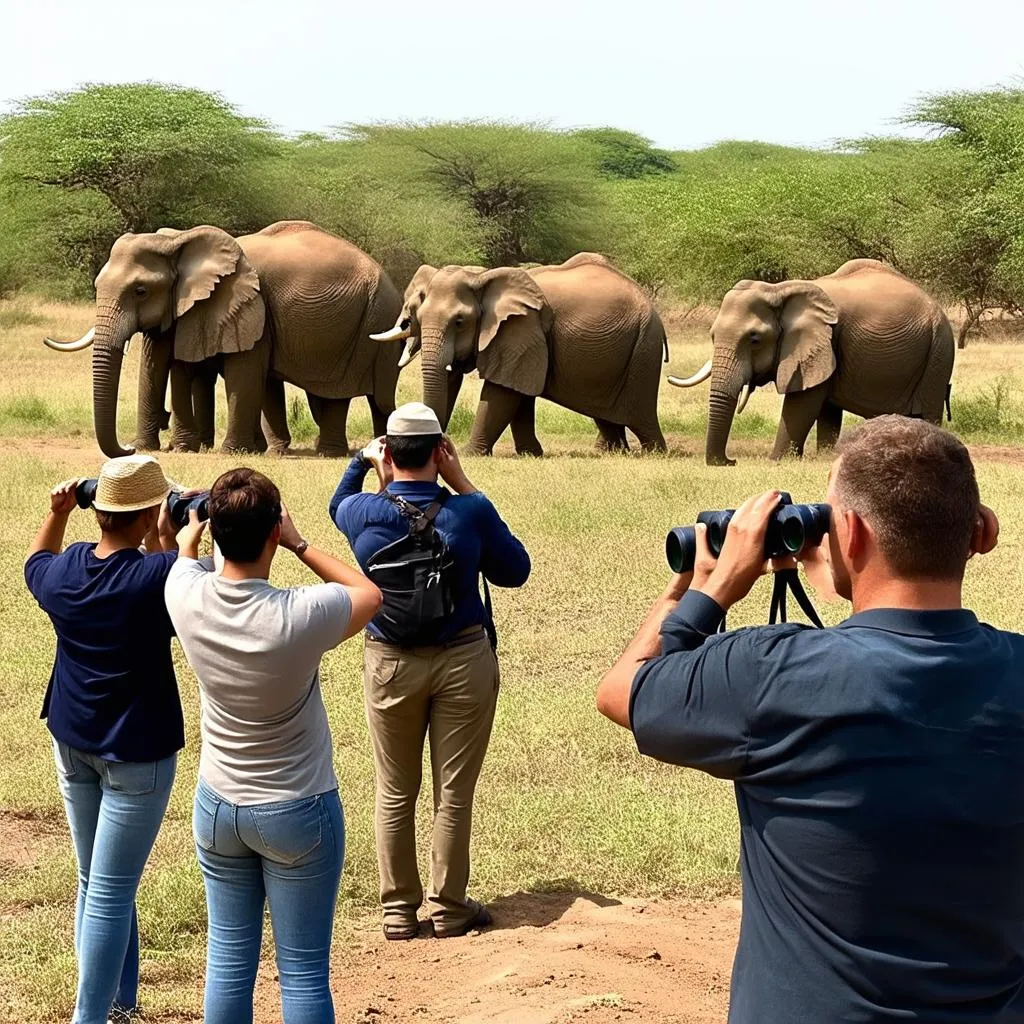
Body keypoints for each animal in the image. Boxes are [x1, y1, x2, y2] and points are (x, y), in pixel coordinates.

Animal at [45, 222, 403, 458]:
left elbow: (242, 373)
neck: (178, 241)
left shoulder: (249, 304)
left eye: (141, 291)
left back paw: (334, 453)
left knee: (353, 393)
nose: (128, 449)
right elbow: (169, 362)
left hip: (374, 320)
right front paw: (175, 447)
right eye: (96, 285)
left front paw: (232, 453)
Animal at [372, 250, 667, 452]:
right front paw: (531, 453)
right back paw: (613, 451)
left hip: (644, 349)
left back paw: (654, 452)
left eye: (459, 322)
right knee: (604, 413)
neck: (481, 277)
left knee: (641, 415)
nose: (440, 441)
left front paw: (471, 453)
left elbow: (502, 394)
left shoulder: (521, 329)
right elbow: (516, 396)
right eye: (418, 318)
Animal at [667, 258, 954, 466]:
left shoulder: (823, 343)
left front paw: (777, 461)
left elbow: (801, 406)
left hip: (939, 351)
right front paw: (828, 455)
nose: (731, 461)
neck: (779, 290)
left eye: (754, 339)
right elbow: (826, 410)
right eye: (712, 336)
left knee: (929, 411)